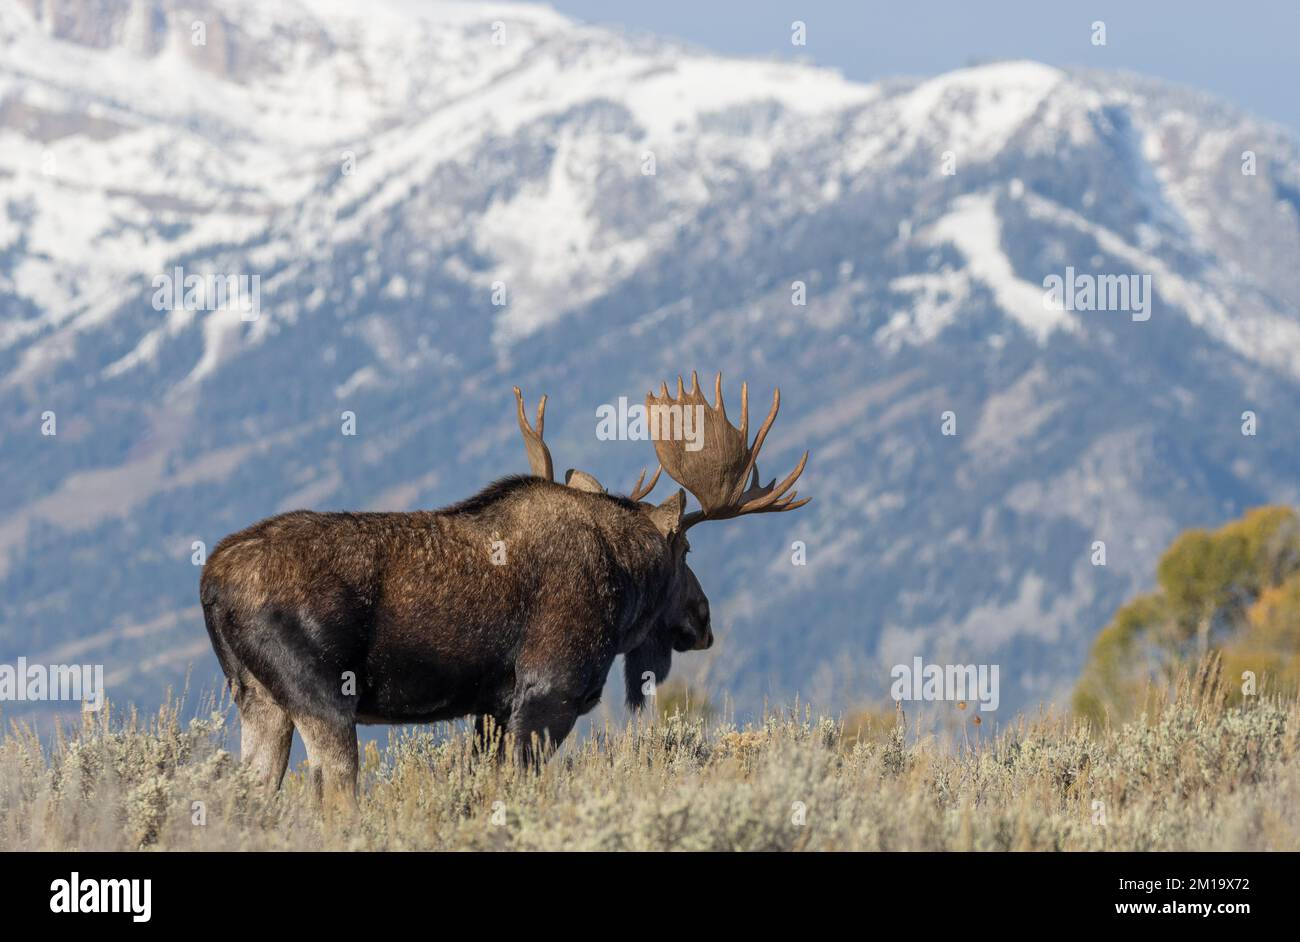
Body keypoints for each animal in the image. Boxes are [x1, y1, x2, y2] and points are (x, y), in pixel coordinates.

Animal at [199, 372, 809, 806]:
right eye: (686, 552)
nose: (703, 619)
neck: (624, 585)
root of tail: (210, 583)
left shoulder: (490, 708)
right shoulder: (548, 693)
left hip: (257, 697)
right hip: (323, 696)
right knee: (333, 798)